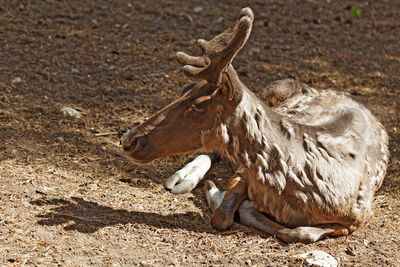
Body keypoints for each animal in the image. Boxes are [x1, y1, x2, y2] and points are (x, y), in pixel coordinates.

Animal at [120, 7, 390, 244]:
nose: (130, 139)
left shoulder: (356, 216)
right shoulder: (246, 171)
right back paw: (183, 177)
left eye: (197, 107)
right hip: (273, 88)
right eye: (183, 90)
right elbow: (223, 215)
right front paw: (216, 193)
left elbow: (299, 232)